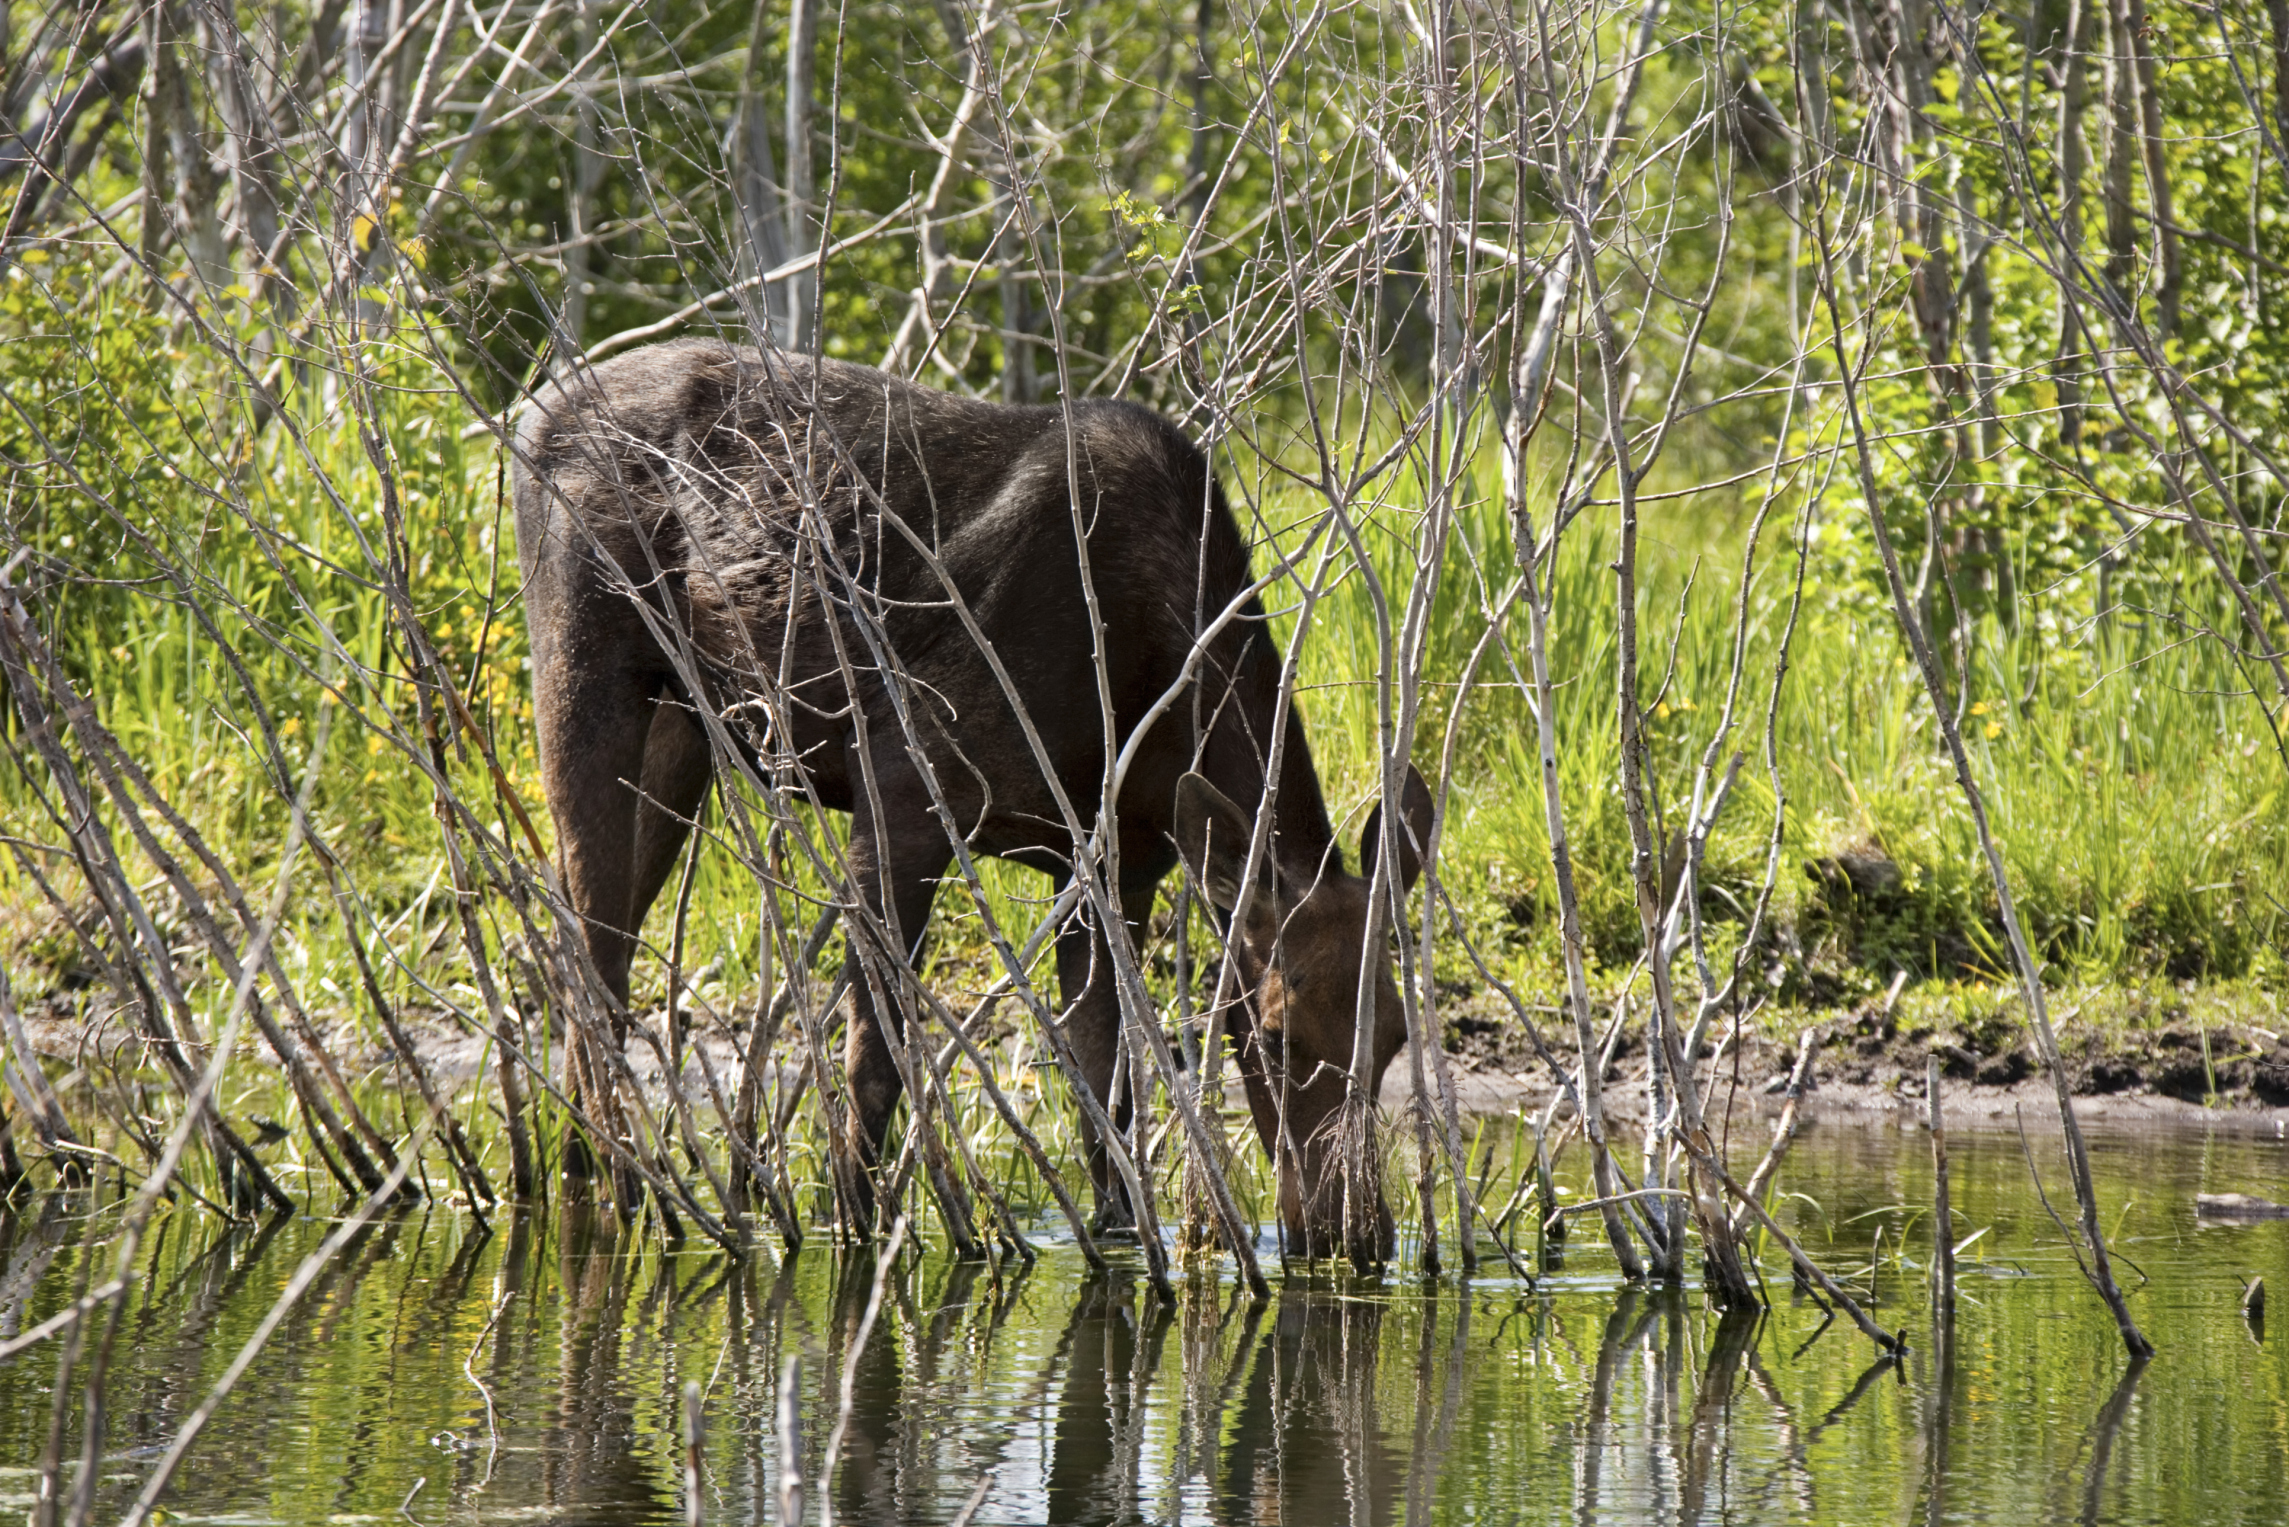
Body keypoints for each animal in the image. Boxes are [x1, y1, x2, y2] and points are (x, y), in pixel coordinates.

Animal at [510, 337, 1432, 1263]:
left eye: (1395, 1034)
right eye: (1273, 1033)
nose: (1353, 1232)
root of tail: (527, 419)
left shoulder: (1115, 867)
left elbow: (1104, 1086)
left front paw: (1120, 1233)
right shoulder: (902, 787)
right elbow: (873, 1065)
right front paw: (856, 1225)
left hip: (684, 725)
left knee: (598, 947)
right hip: (583, 670)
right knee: (589, 948)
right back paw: (612, 1187)